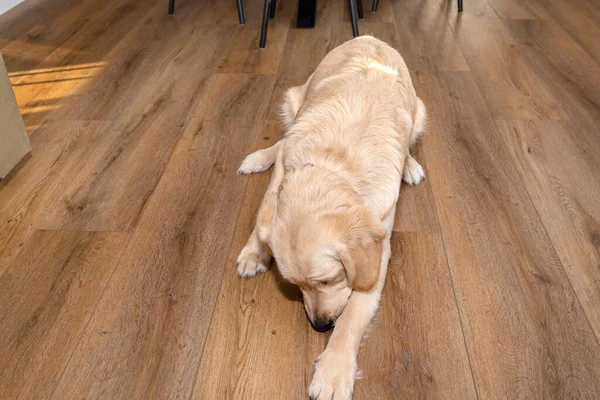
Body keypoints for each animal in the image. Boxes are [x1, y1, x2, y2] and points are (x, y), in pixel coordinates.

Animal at [234, 36, 426, 398]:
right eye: (294, 285)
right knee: (281, 140)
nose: (320, 326)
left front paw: (333, 372)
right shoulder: (284, 173)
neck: (333, 163)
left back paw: (410, 165)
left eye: (329, 279)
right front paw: (254, 251)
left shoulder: (377, 253)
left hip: (419, 113)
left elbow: (352, 317)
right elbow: (265, 207)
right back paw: (258, 157)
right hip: (295, 100)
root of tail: (369, 37)